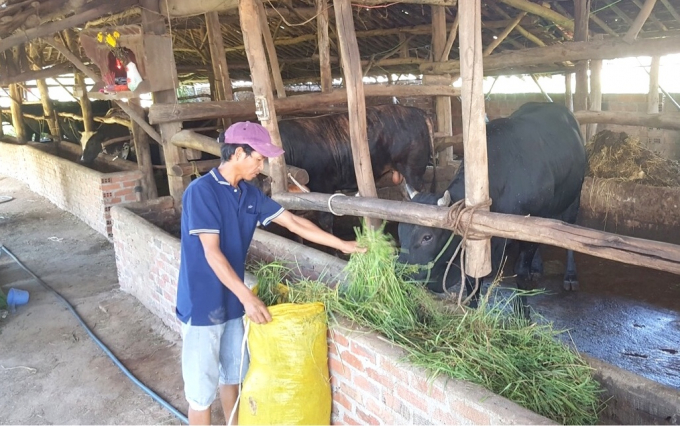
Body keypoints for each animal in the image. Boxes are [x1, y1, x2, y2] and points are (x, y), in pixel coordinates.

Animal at [396, 102, 588, 316]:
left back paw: (570, 275)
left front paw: (523, 313)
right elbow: (473, 277)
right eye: (400, 230)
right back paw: (537, 268)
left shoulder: (531, 226)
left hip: (574, 198)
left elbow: (521, 271)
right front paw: (472, 309)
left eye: (427, 237)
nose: (400, 273)